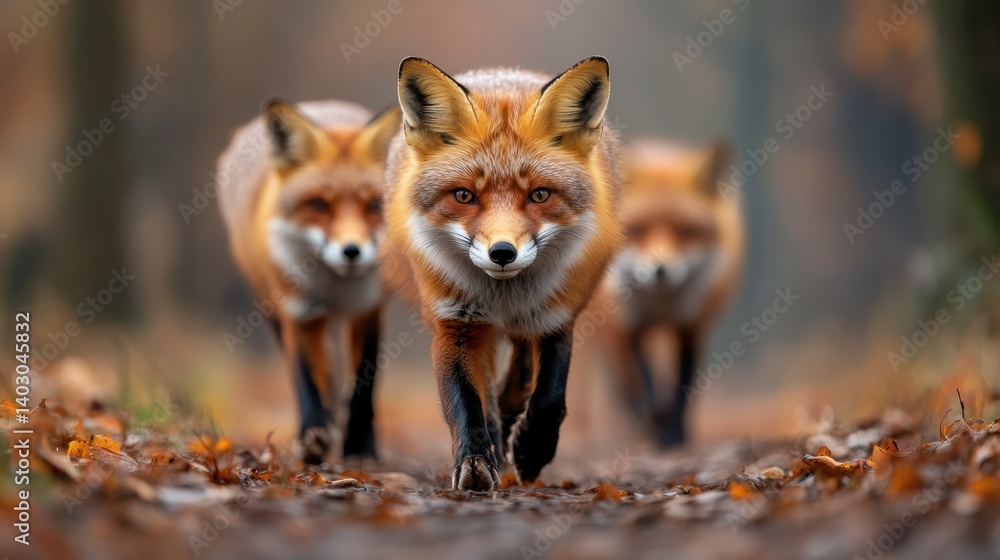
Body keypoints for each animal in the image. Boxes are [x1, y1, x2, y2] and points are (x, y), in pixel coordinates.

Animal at [218, 99, 401, 464]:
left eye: (374, 204)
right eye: (318, 205)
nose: (351, 251)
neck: (337, 287)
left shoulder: (369, 310)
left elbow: (363, 385)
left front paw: (360, 447)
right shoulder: (300, 313)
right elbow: (307, 380)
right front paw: (313, 435)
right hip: (274, 307)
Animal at [380, 56, 622, 490]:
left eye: (539, 195)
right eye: (464, 195)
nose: (503, 253)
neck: (503, 295)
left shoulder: (557, 316)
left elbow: (550, 396)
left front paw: (533, 449)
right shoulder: (456, 323)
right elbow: (467, 403)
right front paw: (476, 459)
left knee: (521, 369)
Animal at [601, 139, 743, 447]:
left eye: (686, 231)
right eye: (637, 230)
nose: (660, 269)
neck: (661, 304)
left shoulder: (691, 326)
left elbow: (682, 384)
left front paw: (675, 432)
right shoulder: (626, 323)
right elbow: (644, 380)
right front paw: (656, 420)